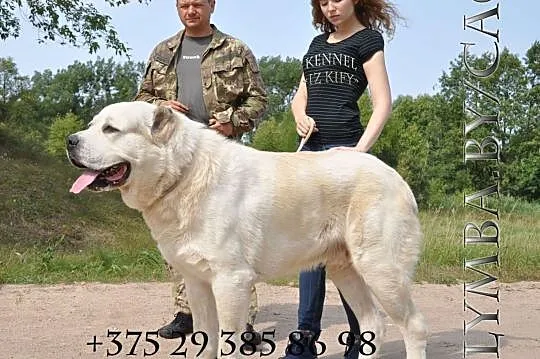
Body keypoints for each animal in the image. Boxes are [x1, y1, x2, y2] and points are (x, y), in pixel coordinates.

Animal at [67, 102, 428, 359]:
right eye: (92, 125)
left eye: (111, 129)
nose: (70, 141)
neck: (184, 174)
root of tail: (395, 177)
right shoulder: (197, 282)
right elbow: (204, 340)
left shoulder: (231, 282)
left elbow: (228, 343)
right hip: (345, 270)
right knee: (373, 324)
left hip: (380, 270)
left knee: (413, 326)